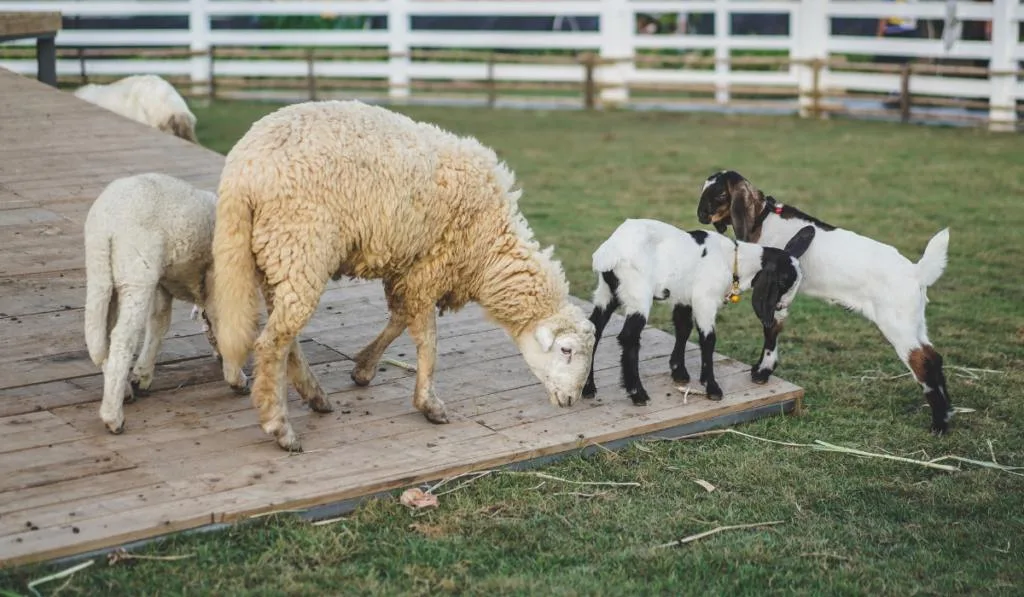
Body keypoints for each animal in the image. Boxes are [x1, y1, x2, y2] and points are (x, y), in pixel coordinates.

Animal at [81, 172, 245, 434]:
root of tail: (106, 223)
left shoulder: (163, 284)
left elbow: (159, 323)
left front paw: (142, 374)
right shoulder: (213, 279)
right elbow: (221, 320)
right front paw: (236, 377)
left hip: (102, 273)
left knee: (100, 335)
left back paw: (123, 391)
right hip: (137, 273)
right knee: (121, 338)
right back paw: (113, 417)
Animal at [204, 99, 598, 452]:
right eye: (566, 350)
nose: (571, 400)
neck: (489, 251)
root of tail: (243, 171)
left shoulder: (408, 268)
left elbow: (398, 318)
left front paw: (364, 368)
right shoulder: (430, 267)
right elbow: (427, 339)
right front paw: (429, 404)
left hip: (275, 255)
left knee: (287, 336)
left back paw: (315, 397)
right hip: (300, 244)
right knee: (272, 344)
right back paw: (280, 427)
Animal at [585, 219, 815, 405]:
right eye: (784, 282)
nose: (781, 307)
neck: (733, 259)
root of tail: (609, 252)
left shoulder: (683, 298)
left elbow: (683, 328)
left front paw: (679, 372)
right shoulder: (704, 300)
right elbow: (708, 339)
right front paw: (712, 387)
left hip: (606, 293)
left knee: (594, 330)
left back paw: (588, 387)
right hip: (638, 294)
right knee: (629, 337)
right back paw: (637, 393)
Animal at [696, 167, 950, 434]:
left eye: (720, 194)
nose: (700, 214)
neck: (765, 218)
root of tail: (916, 272)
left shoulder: (778, 294)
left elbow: (771, 330)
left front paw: (763, 372)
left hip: (898, 325)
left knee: (923, 363)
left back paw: (939, 424)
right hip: (915, 322)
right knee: (934, 357)